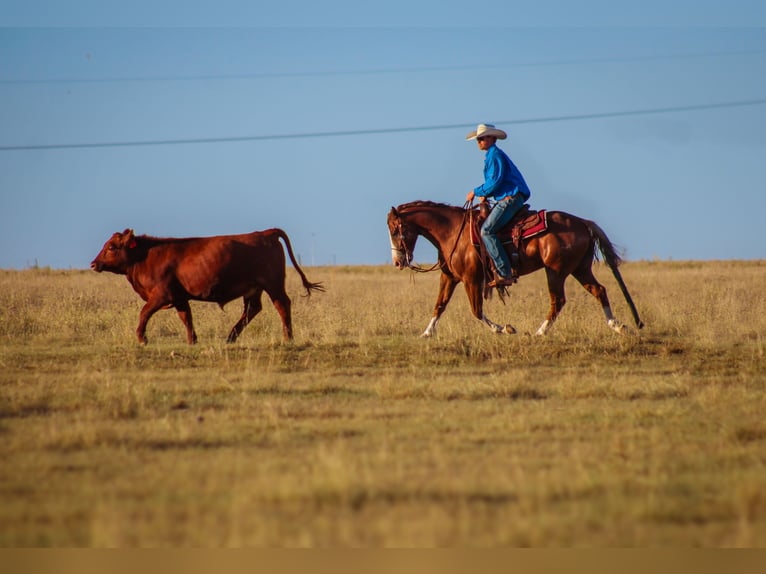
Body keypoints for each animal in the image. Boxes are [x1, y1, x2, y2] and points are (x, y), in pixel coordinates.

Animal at [91, 228, 326, 346]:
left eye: (111, 247)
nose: (94, 264)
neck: (146, 256)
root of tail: (264, 233)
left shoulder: (162, 295)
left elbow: (144, 312)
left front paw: (142, 338)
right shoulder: (179, 297)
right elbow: (186, 318)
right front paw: (192, 341)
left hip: (273, 284)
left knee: (282, 305)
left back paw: (288, 337)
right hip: (254, 289)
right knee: (252, 310)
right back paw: (231, 337)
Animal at [388, 201, 644, 338]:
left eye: (394, 230)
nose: (398, 262)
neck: (452, 232)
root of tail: (583, 222)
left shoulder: (472, 279)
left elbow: (476, 311)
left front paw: (504, 329)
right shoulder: (449, 277)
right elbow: (439, 305)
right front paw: (427, 333)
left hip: (556, 271)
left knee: (558, 300)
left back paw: (540, 332)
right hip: (579, 269)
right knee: (599, 290)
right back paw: (618, 326)